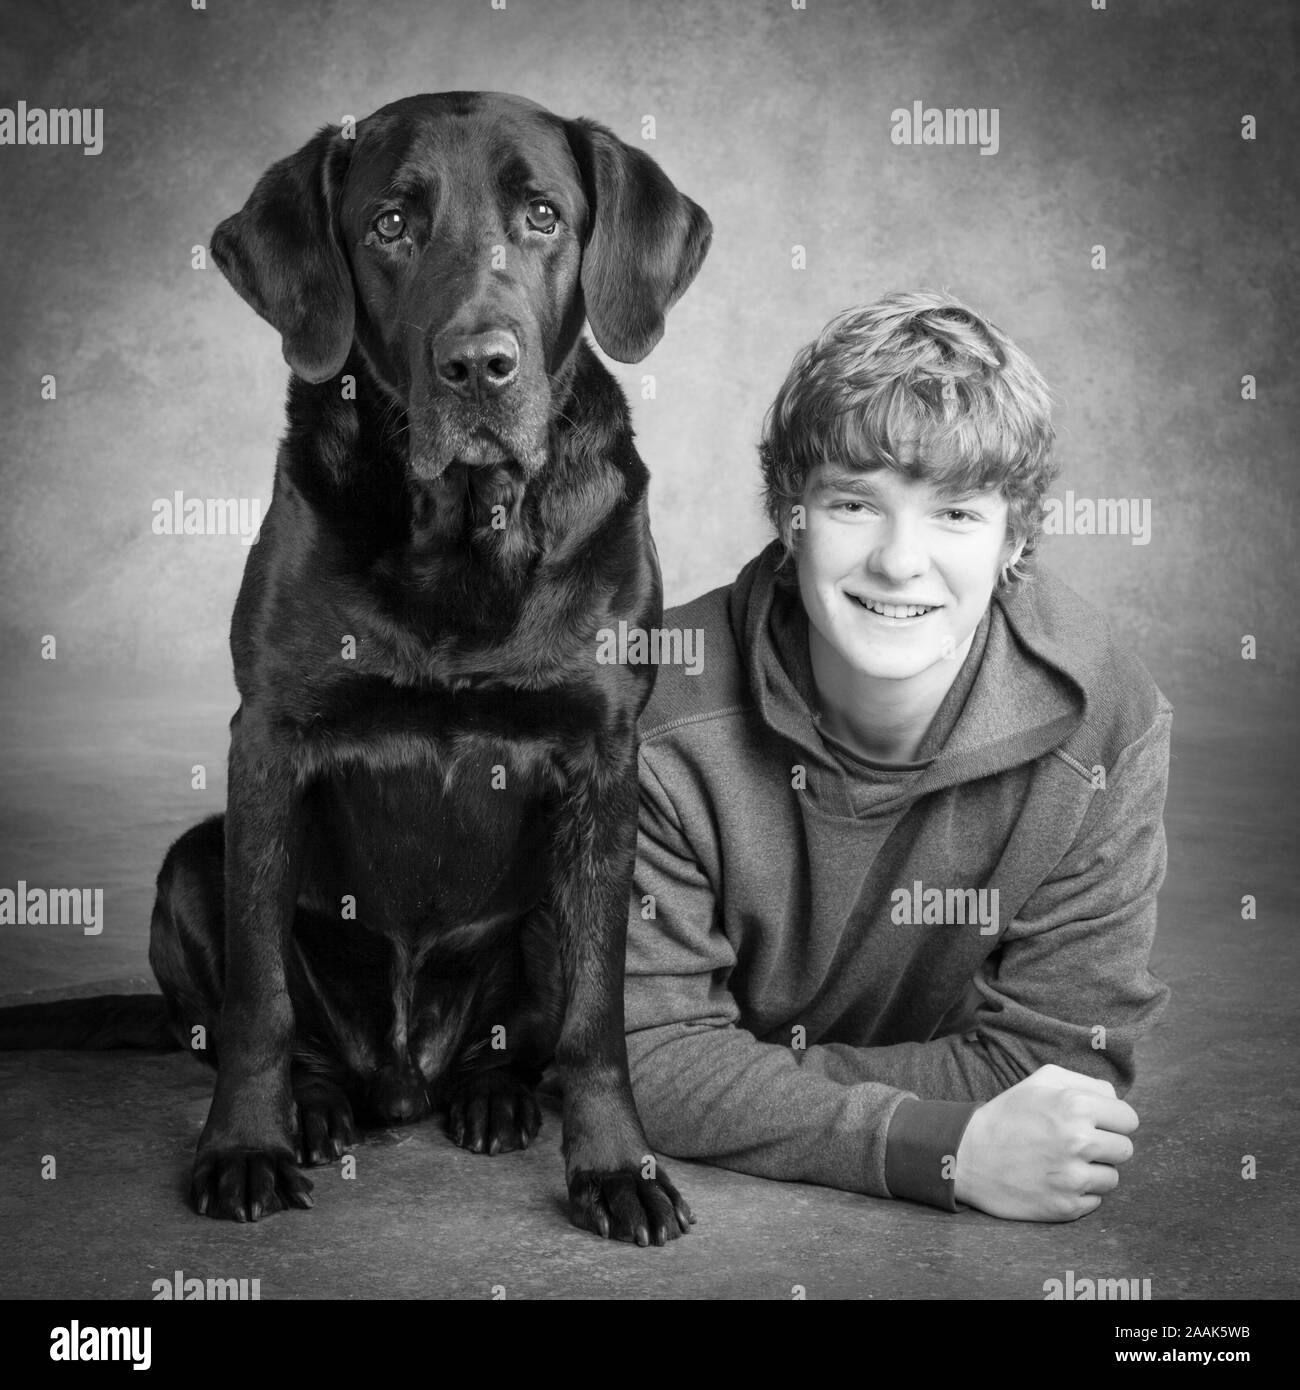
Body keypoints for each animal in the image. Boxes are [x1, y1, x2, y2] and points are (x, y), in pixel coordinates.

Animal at [134, 97, 711, 1245]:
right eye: (391, 225)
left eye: (543, 214)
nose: (479, 365)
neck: (461, 533)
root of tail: (405, 1076)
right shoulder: (269, 737)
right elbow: (259, 1000)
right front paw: (244, 1147)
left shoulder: (603, 757)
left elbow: (598, 1017)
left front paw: (615, 1167)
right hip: (192, 863)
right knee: (282, 1027)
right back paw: (315, 1111)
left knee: (519, 1043)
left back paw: (491, 1098)